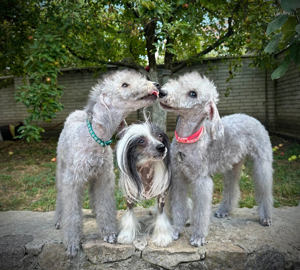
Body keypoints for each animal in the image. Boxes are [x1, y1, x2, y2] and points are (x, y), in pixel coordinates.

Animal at [116, 116, 173, 247]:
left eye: (159, 135)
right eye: (141, 141)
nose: (161, 147)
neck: (145, 169)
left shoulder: (162, 195)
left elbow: (161, 214)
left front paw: (162, 237)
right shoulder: (129, 196)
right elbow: (129, 213)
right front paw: (126, 235)